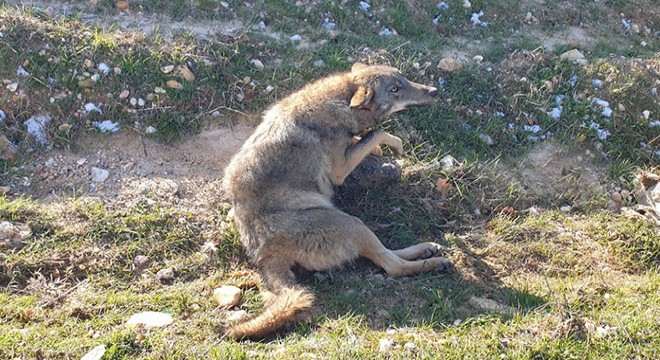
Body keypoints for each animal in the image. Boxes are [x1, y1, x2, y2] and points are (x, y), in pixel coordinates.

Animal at [222, 62, 454, 340]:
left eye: (404, 79)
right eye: (395, 89)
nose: (434, 91)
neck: (341, 100)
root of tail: (262, 255)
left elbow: (369, 137)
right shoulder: (339, 170)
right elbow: (377, 133)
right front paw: (395, 145)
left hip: (354, 226)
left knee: (386, 253)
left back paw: (426, 248)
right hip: (351, 224)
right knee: (392, 266)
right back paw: (436, 262)